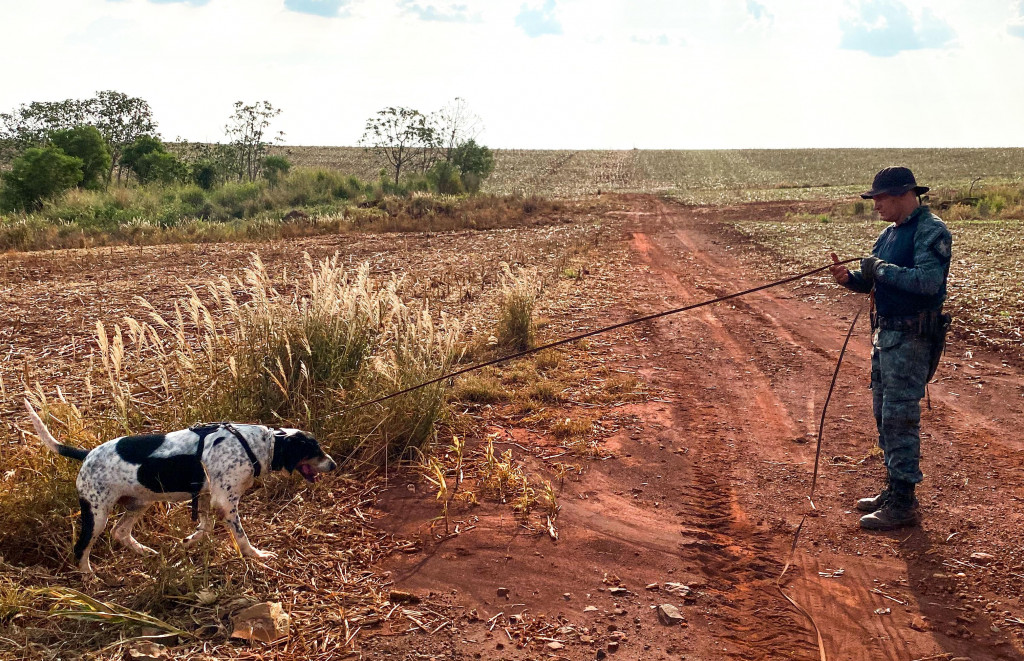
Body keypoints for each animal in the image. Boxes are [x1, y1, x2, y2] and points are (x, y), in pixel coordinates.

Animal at [24, 401, 337, 577]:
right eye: (314, 450)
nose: (334, 465)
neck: (256, 444)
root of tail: (85, 454)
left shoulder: (209, 497)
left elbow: (205, 528)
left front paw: (189, 541)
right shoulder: (226, 502)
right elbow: (242, 539)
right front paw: (257, 556)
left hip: (139, 503)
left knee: (120, 532)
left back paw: (145, 552)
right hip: (96, 513)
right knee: (81, 548)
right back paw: (90, 579)